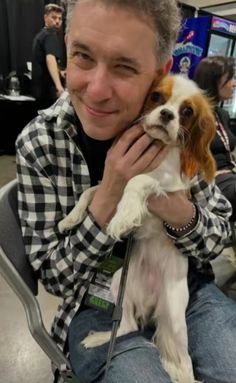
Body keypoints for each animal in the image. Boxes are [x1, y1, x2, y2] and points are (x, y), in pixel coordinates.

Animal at [58, 75, 216, 383]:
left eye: (187, 112)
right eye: (156, 97)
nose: (167, 114)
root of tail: (152, 303)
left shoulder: (170, 185)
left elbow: (139, 180)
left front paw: (124, 216)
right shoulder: (113, 182)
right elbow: (91, 192)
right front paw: (70, 219)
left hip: (175, 316)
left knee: (186, 364)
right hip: (121, 281)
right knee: (128, 325)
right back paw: (99, 338)